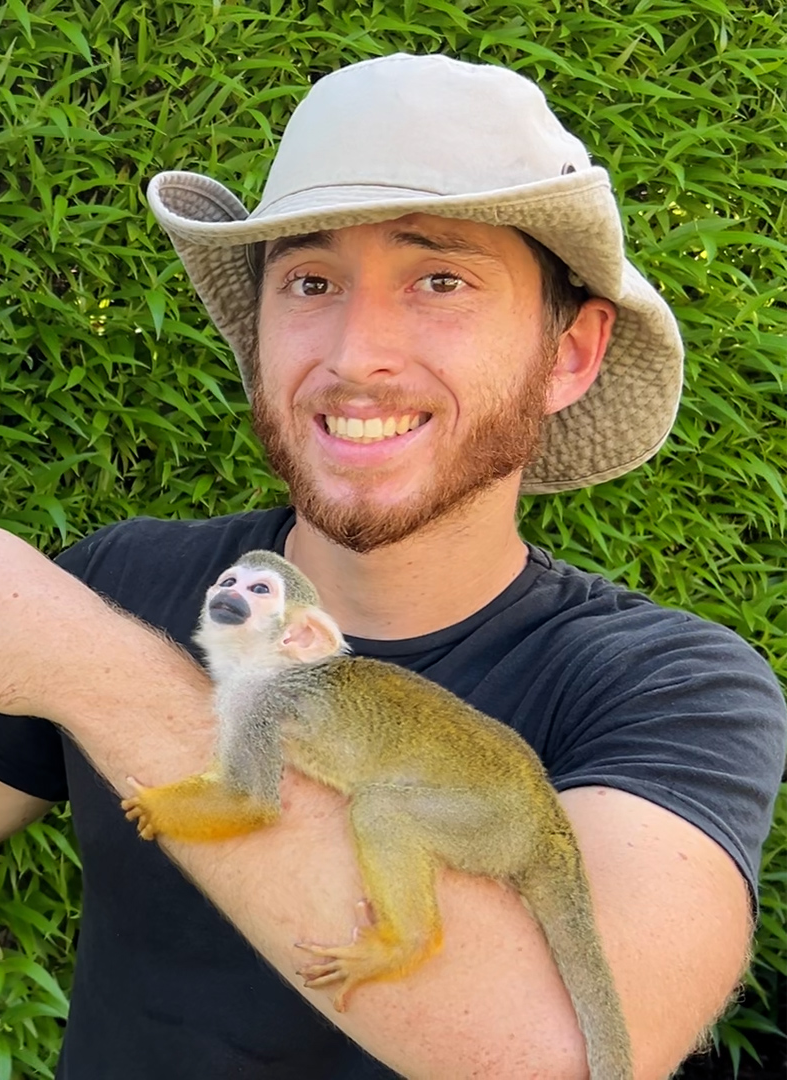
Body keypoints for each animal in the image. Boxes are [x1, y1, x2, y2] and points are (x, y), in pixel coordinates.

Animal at [121, 549, 633, 1080]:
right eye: (229, 582)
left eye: (258, 590)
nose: (227, 595)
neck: (267, 667)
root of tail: (546, 815)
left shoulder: (257, 708)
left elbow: (250, 801)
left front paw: (152, 807)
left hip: (489, 825)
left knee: (380, 810)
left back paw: (405, 944)